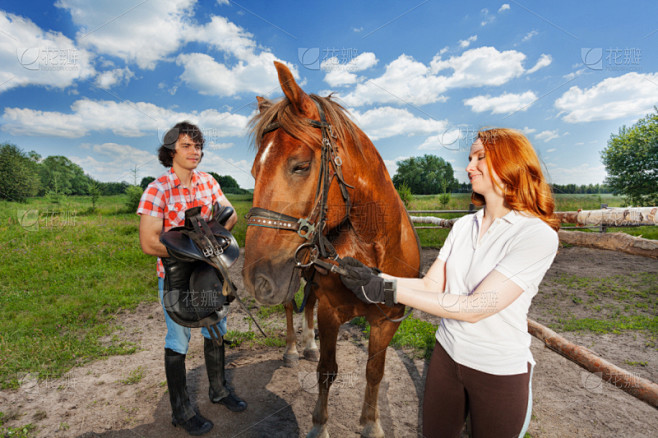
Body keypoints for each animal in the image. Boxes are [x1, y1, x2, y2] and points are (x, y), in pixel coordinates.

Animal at [242, 61, 421, 438]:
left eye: (300, 165)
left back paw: (307, 345)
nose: (256, 278)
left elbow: (374, 372)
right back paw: (294, 350)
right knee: (292, 306)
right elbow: (327, 370)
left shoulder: (387, 321)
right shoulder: (331, 312)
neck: (374, 247)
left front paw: (371, 424)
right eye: (254, 171)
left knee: (307, 302)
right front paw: (319, 425)